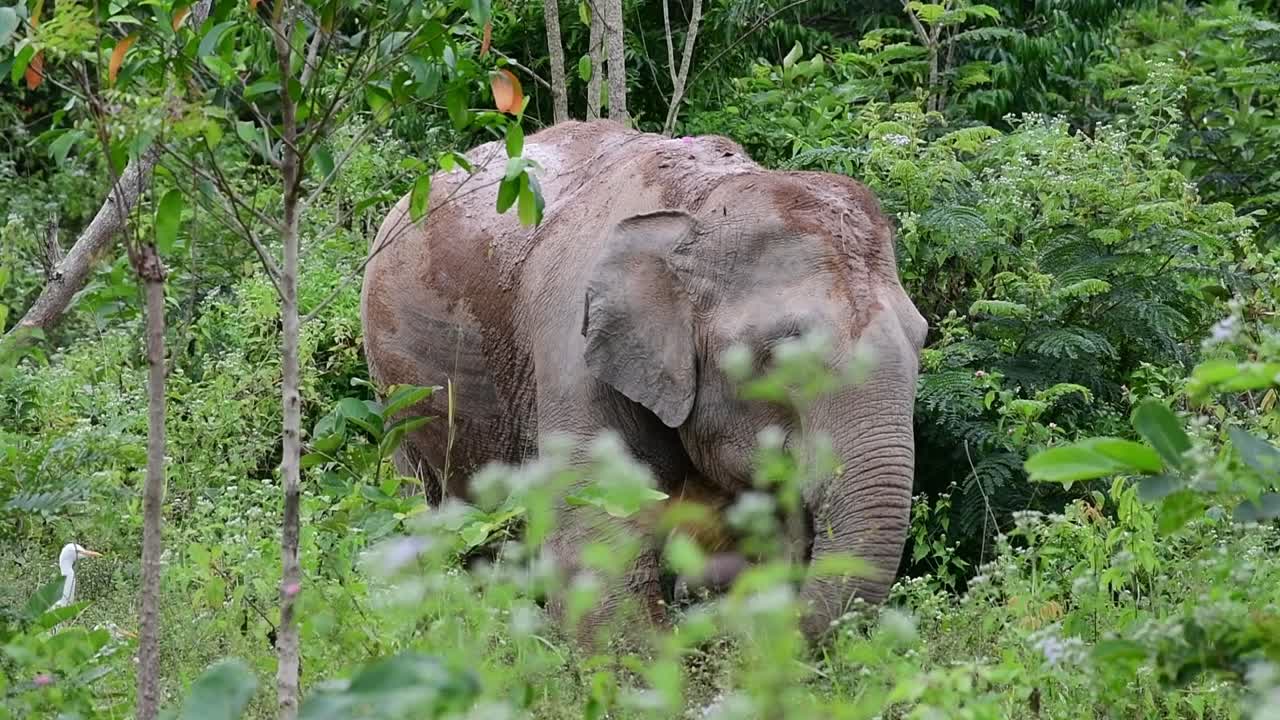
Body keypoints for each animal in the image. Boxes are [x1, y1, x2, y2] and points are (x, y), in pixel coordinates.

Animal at [360, 119, 927, 646]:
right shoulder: (572, 346)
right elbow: (593, 529)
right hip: (394, 385)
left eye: (922, 340)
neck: (701, 208)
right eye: (782, 359)